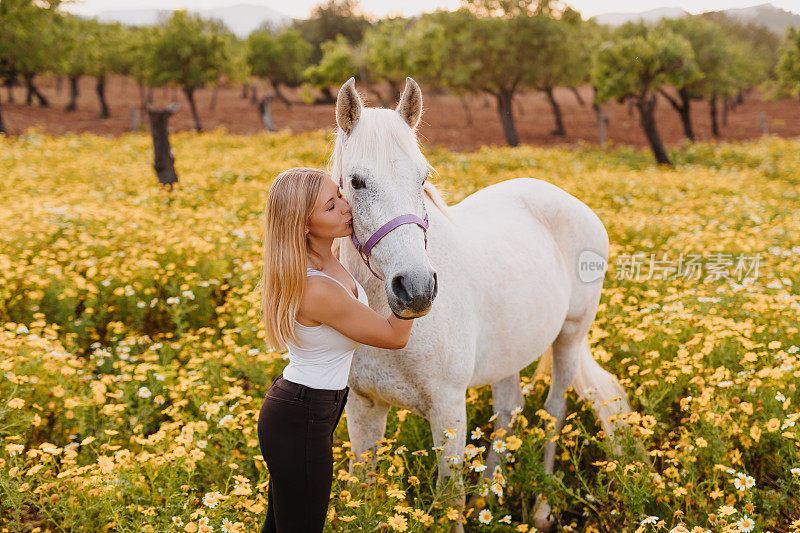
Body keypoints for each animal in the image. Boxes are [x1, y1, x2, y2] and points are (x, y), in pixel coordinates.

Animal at [332, 77, 632, 528]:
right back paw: (487, 497)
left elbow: (448, 500)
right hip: (508, 352)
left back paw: (541, 510)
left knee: (554, 407)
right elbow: (361, 493)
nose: (416, 289)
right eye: (356, 182)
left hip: (570, 335)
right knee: (509, 409)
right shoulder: (364, 408)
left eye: (422, 178)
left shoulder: (448, 410)